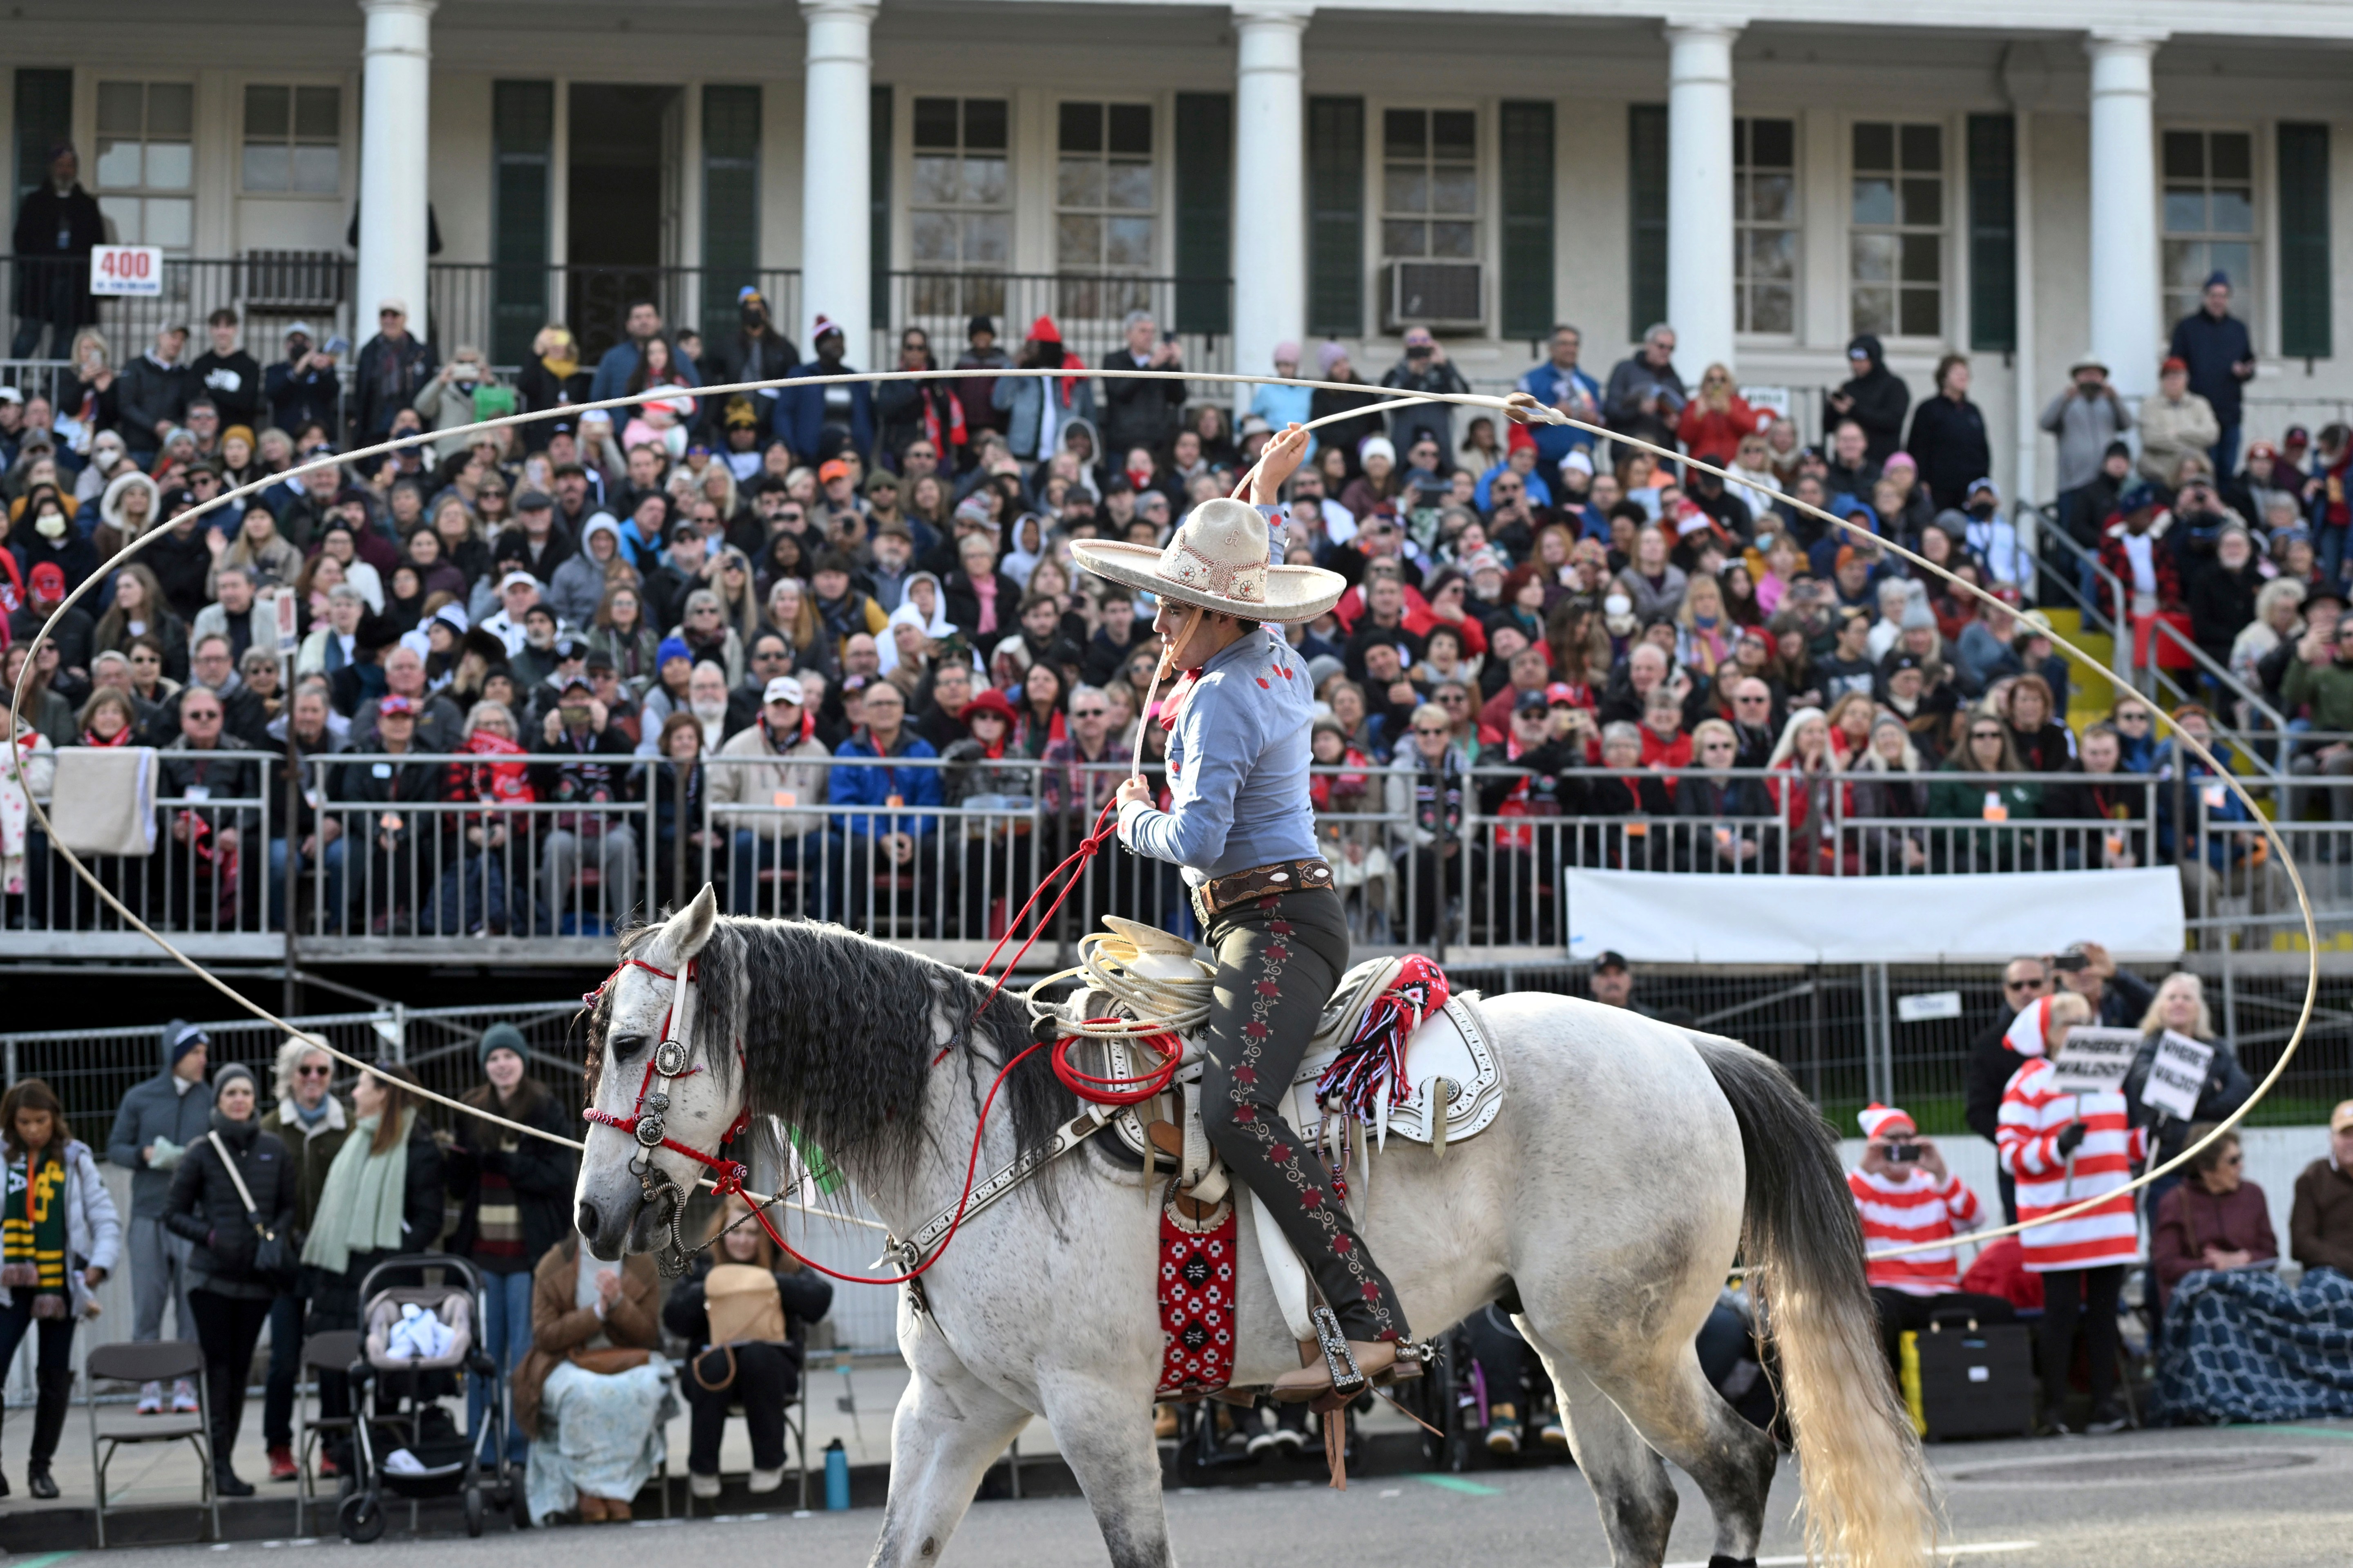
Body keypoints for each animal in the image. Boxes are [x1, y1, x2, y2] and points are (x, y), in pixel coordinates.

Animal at [569, 890, 1929, 1563]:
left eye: (634, 1041)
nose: (592, 1212)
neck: (984, 1145)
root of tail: (1688, 1046)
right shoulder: (950, 1415)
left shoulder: (1097, 1410)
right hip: (1567, 1338)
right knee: (1638, 1505)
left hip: (1630, 1339)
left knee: (1736, 1467)